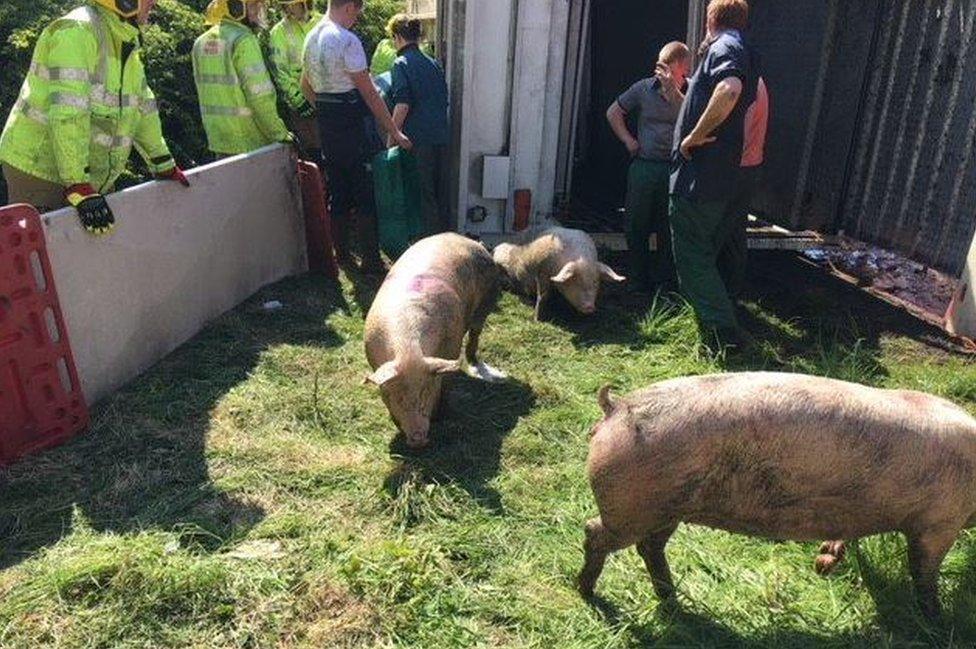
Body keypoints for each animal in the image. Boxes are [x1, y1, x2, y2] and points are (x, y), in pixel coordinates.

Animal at [362, 234, 508, 450]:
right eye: (397, 396)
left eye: (426, 391)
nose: (418, 438)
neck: (408, 349)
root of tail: (468, 239)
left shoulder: (451, 348)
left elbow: (446, 381)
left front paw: (441, 415)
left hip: (486, 302)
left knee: (475, 335)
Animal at [496, 227, 624, 320]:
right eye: (576, 281)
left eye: (595, 282)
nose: (590, 307)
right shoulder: (542, 271)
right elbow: (543, 295)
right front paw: (537, 319)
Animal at [580, 370, 976, 616]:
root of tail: (617, 407)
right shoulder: (940, 522)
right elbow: (924, 571)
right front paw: (936, 618)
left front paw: (824, 561)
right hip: (633, 508)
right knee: (594, 532)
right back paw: (586, 592)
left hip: (665, 507)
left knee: (650, 547)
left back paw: (672, 600)